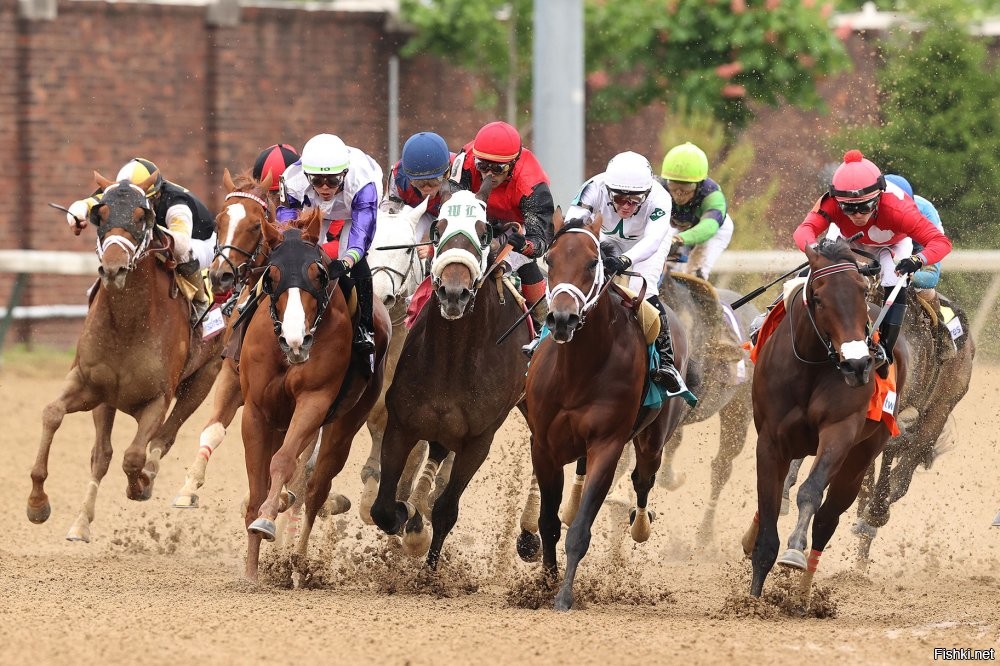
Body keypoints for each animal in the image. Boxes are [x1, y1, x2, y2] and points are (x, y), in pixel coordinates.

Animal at [27, 171, 223, 540]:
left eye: (141, 216)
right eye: (99, 214)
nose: (113, 268)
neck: (129, 323)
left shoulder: (159, 398)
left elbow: (134, 456)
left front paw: (140, 484)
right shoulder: (89, 385)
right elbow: (51, 415)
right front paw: (37, 503)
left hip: (205, 377)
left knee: (165, 437)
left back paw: (152, 476)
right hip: (108, 400)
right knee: (102, 454)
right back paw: (80, 522)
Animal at [239, 210, 390, 580]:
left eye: (318, 274)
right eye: (271, 276)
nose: (297, 342)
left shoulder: (314, 400)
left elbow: (283, 462)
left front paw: (267, 521)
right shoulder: (256, 411)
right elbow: (257, 487)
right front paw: (250, 570)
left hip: (345, 424)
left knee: (316, 489)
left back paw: (298, 562)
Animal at [364, 187, 528, 564]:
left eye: (484, 232)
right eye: (437, 230)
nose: (454, 293)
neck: (453, 361)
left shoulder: (479, 441)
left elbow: (445, 510)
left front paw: (425, 555)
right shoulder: (401, 423)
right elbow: (383, 507)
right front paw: (403, 514)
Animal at [520, 211, 692, 608]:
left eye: (591, 262)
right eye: (550, 260)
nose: (562, 319)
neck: (577, 371)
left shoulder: (607, 445)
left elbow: (581, 530)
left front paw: (564, 596)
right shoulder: (543, 446)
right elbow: (549, 523)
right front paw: (544, 585)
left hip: (653, 440)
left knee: (643, 479)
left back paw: (641, 524)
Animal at [740, 239, 904, 600]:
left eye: (862, 291)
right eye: (817, 296)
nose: (857, 365)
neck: (811, 364)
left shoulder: (839, 431)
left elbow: (811, 493)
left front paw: (793, 551)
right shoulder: (770, 441)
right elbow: (768, 507)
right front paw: (753, 597)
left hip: (859, 460)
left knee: (828, 519)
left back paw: (803, 595)